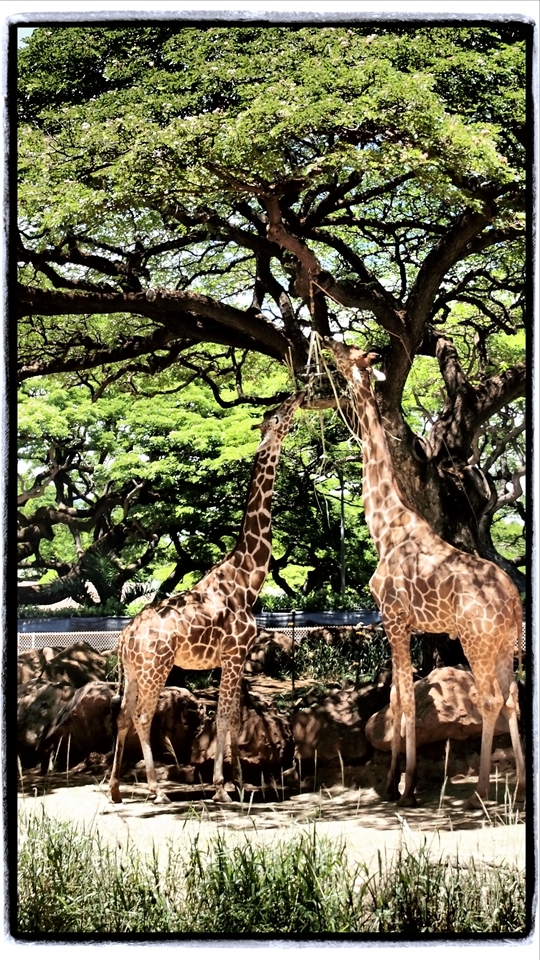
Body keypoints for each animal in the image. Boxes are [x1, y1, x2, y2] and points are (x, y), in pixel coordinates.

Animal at [109, 391, 305, 804]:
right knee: (143, 716)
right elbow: (224, 717)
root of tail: (126, 637)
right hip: (156, 668)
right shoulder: (234, 653)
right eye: (277, 417)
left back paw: (115, 788)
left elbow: (232, 716)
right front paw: (223, 787)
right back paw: (156, 789)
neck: (248, 579)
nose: (295, 397)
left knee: (122, 715)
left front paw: (239, 782)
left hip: (134, 672)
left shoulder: (234, 658)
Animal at [324, 337, 525, 807]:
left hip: (476, 639)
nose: (323, 342)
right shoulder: (405, 625)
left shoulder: (394, 619)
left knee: (490, 700)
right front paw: (394, 781)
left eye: (347, 349)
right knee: (513, 699)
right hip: (504, 645)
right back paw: (523, 786)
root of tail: (513, 601)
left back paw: (481, 790)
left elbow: (403, 700)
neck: (384, 526)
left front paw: (404, 784)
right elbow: (399, 695)